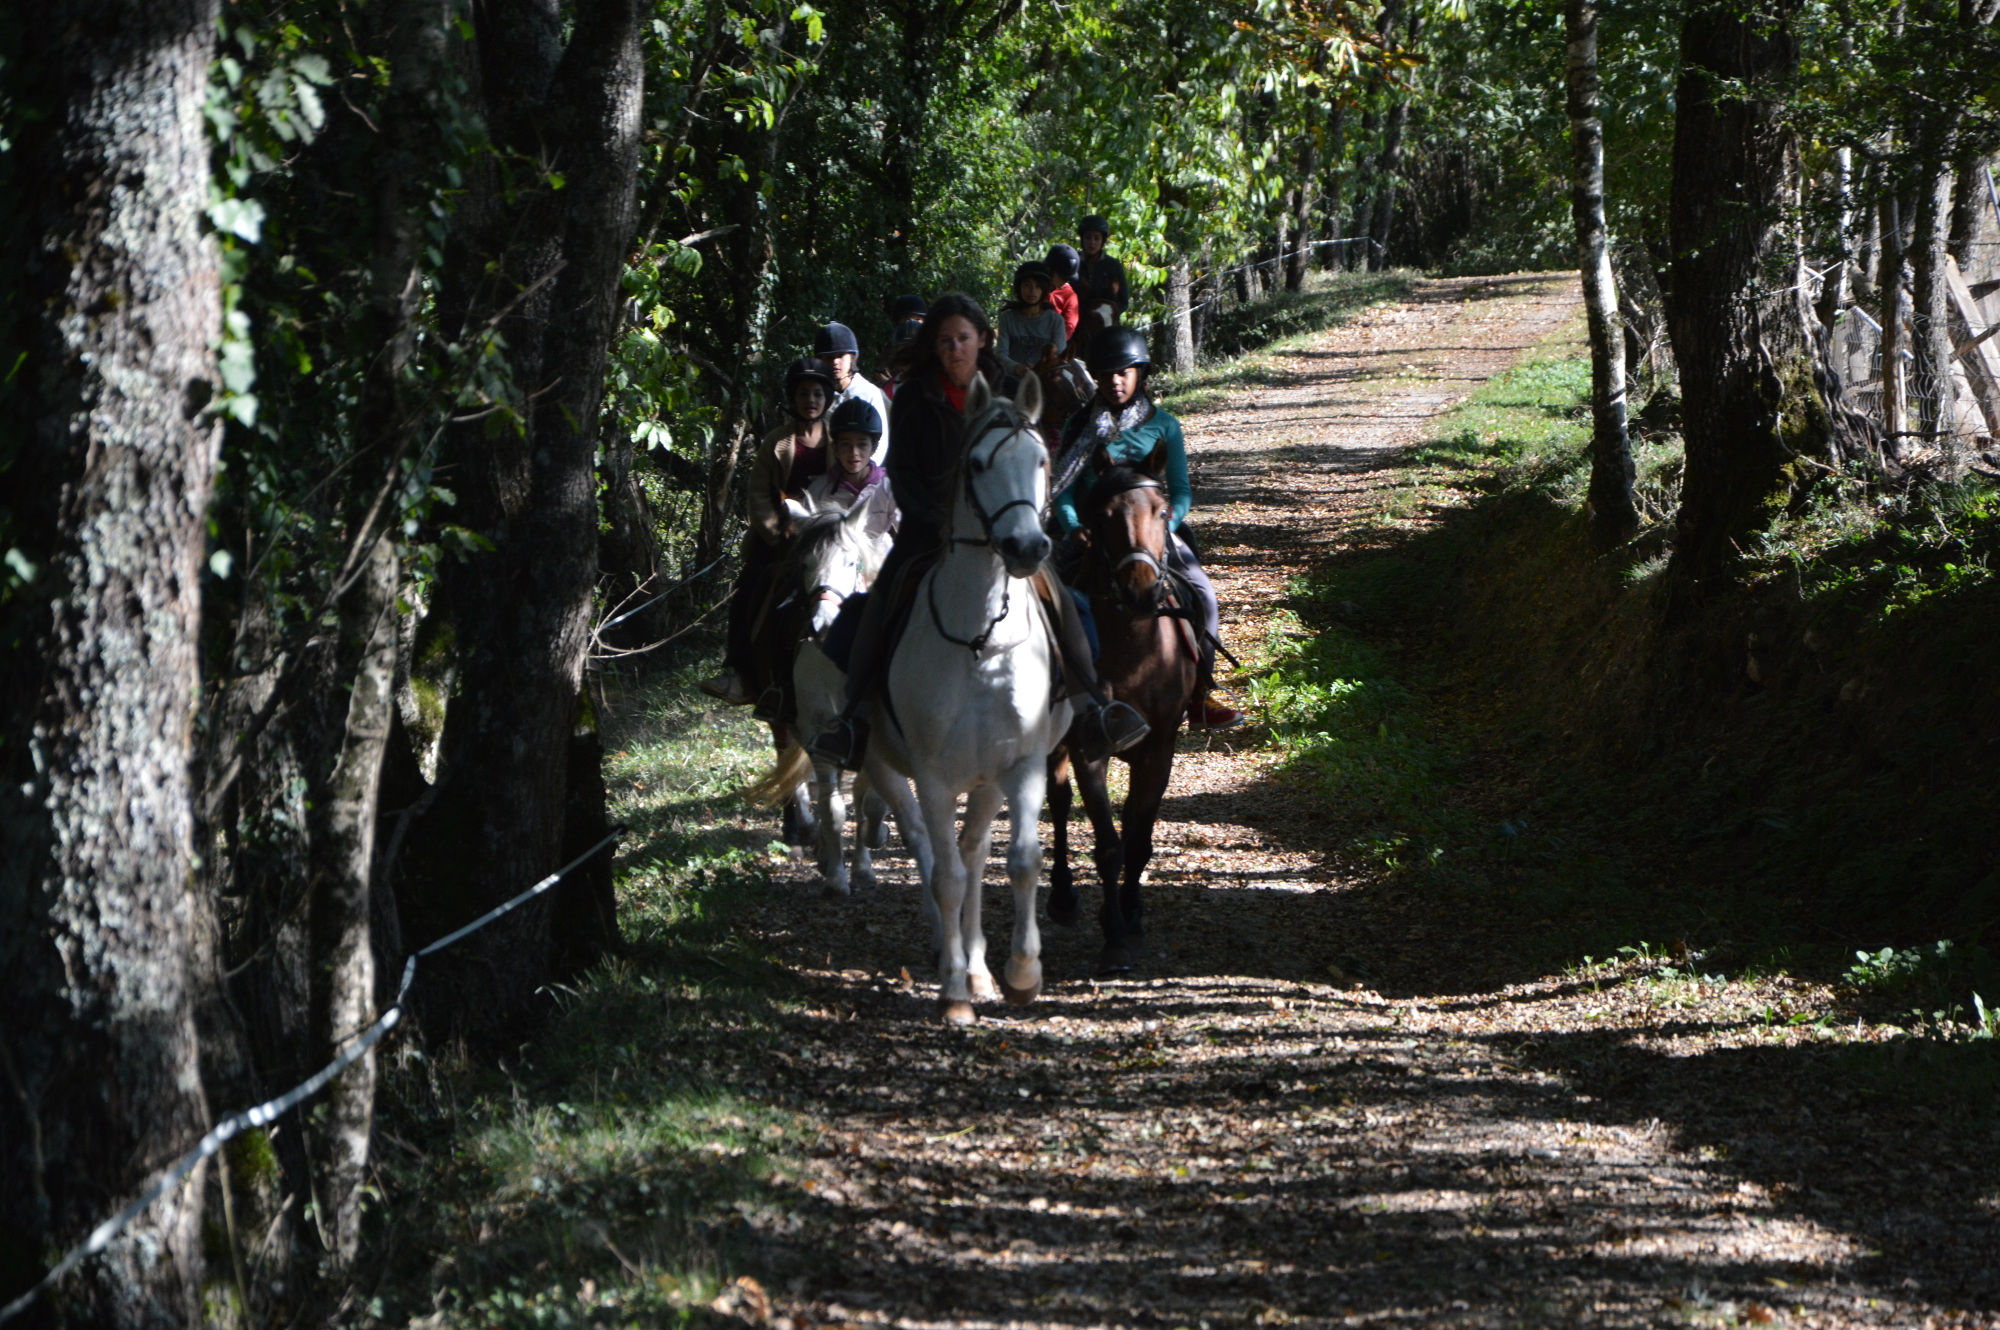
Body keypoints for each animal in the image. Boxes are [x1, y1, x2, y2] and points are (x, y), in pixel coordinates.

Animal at [864, 374, 1080, 1024]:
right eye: (978, 462)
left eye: (1041, 459)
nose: (1027, 546)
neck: (981, 639)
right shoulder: (933, 776)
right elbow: (948, 879)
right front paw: (955, 994)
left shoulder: (1023, 764)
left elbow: (1022, 860)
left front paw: (1022, 972)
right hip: (887, 767)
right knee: (934, 854)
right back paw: (951, 958)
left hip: (986, 781)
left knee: (975, 851)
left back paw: (982, 967)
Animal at [1056, 452, 1192, 972]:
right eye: (1103, 518)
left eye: (1162, 511)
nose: (1140, 591)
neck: (1134, 651)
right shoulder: (1088, 749)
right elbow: (1110, 847)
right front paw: (1114, 940)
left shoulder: (1159, 748)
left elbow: (1139, 839)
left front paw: (1131, 919)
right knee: (1056, 804)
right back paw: (1060, 899)